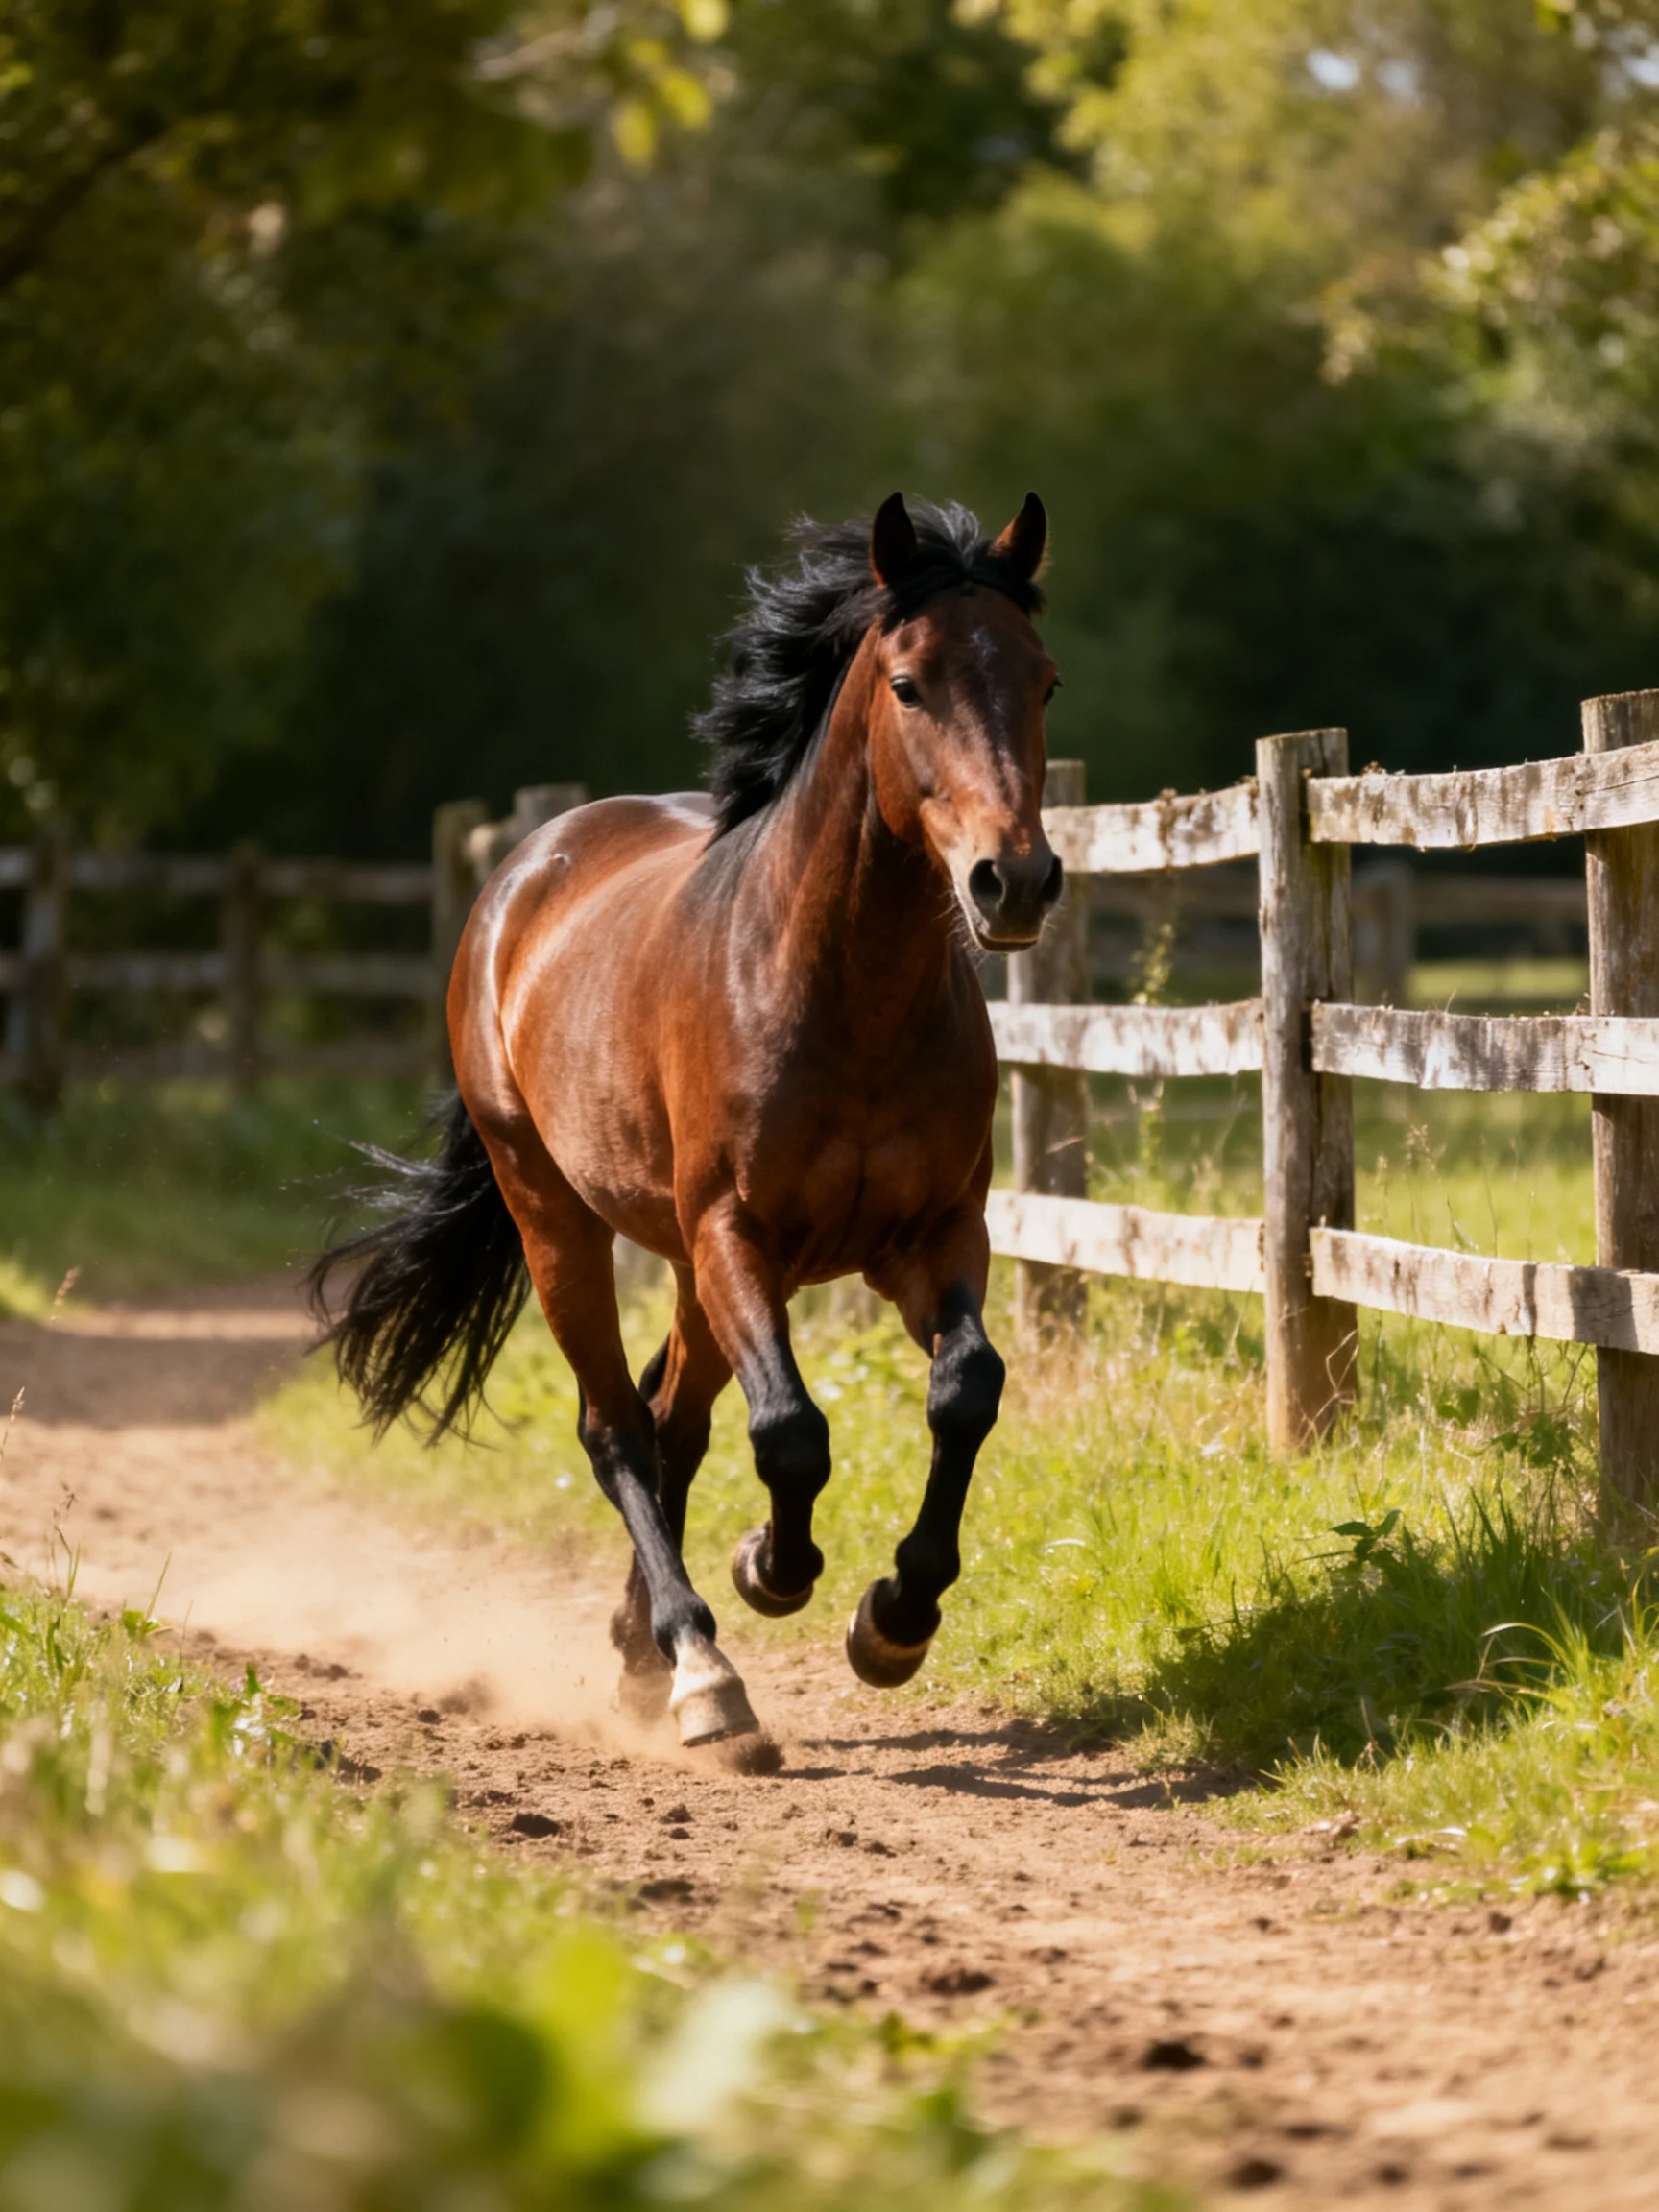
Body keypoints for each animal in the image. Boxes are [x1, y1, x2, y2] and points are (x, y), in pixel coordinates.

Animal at [309, 492, 1062, 1764]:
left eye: (1044, 680)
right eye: (909, 684)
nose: (1013, 881)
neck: (846, 996)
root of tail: (522, 873)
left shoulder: (935, 1237)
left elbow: (965, 1390)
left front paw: (894, 1620)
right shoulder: (733, 1235)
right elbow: (792, 1431)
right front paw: (772, 1573)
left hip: (689, 1264)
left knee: (675, 1420)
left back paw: (644, 1653)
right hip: (560, 1219)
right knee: (618, 1425)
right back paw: (699, 1666)